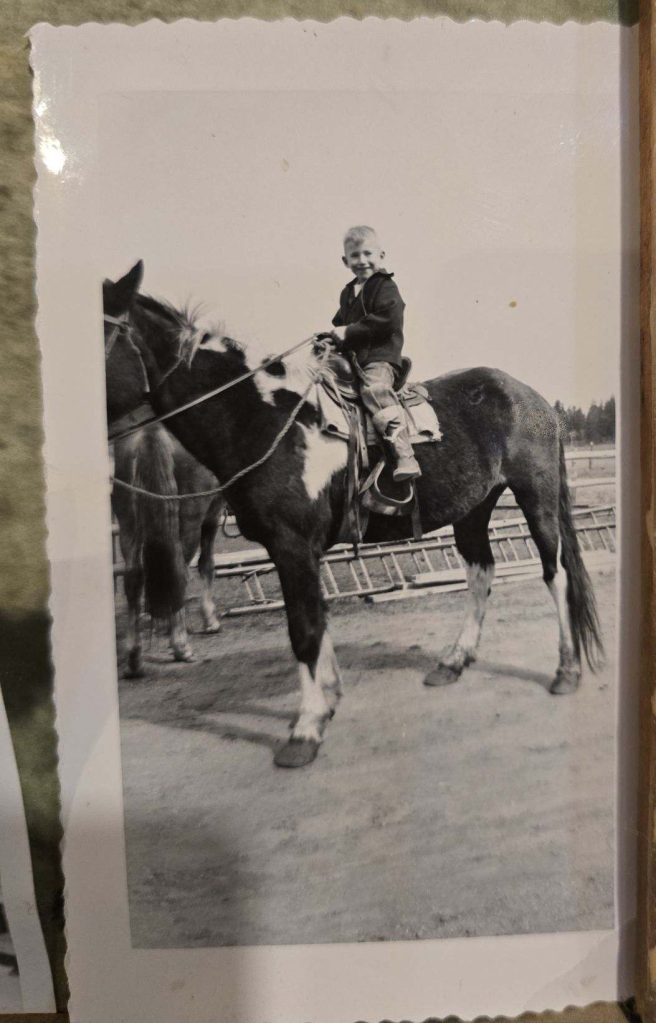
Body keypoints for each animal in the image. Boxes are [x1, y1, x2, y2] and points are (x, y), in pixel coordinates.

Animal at [105, 277, 223, 677]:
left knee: (134, 575)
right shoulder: (213, 512)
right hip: (186, 515)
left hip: (128, 517)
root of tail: (151, 431)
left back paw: (134, 656)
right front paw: (209, 620)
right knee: (178, 568)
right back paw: (180, 644)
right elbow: (206, 564)